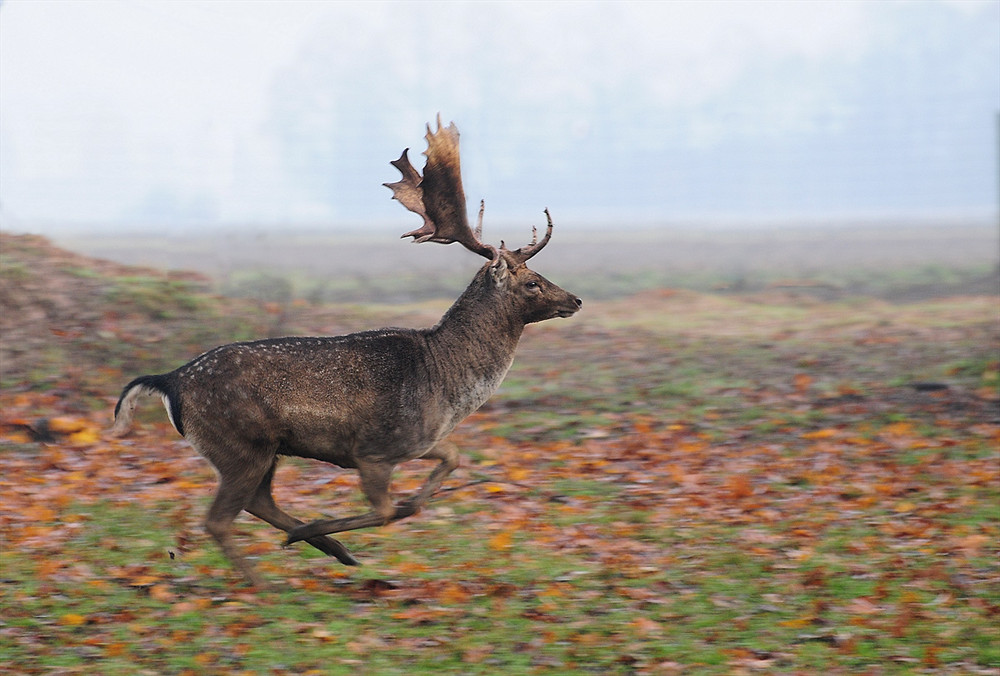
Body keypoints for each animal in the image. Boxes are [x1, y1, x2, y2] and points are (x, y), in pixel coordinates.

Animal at [110, 117, 584, 588]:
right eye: (532, 283)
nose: (576, 300)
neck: (446, 381)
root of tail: (169, 380)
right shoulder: (372, 450)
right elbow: (386, 511)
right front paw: (327, 527)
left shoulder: (417, 440)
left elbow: (448, 462)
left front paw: (368, 520)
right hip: (239, 444)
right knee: (219, 519)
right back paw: (267, 581)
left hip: (263, 450)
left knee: (257, 502)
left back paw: (328, 549)